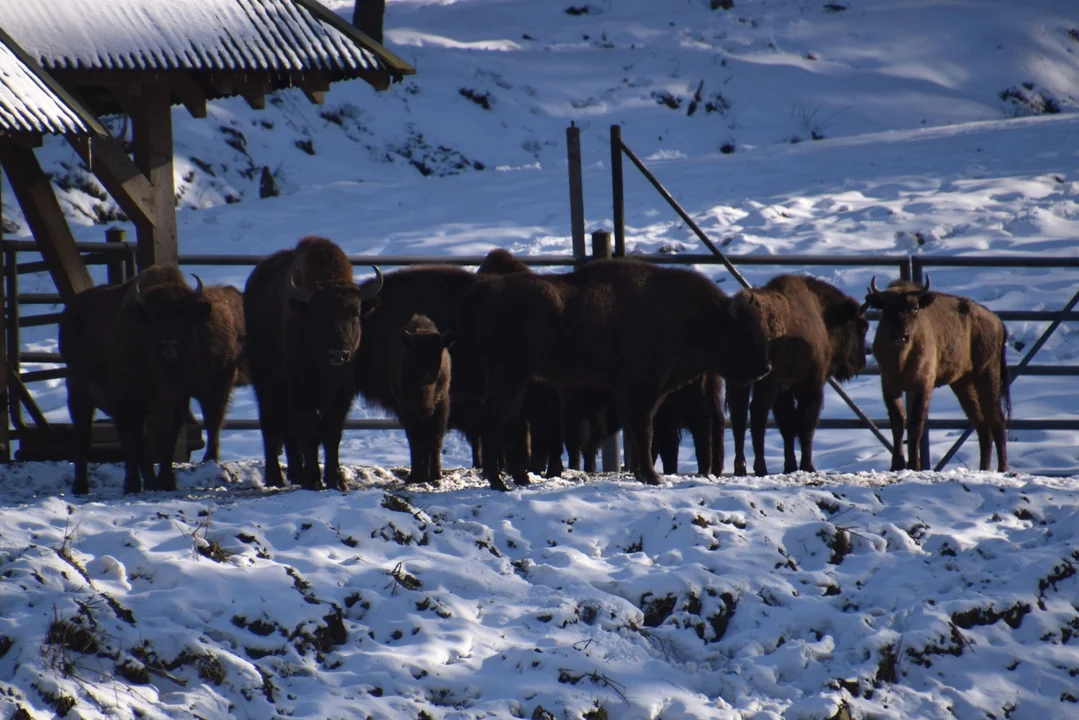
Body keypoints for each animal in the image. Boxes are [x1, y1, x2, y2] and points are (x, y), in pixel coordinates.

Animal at [62, 264, 217, 496]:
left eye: (185, 314)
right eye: (153, 316)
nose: (169, 345)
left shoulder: (177, 402)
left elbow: (166, 440)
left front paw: (167, 482)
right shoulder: (126, 403)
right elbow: (131, 443)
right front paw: (133, 485)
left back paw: (151, 482)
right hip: (79, 395)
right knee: (85, 436)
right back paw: (81, 487)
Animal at [244, 236, 384, 490]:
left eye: (355, 312)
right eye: (317, 314)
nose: (338, 354)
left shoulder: (343, 392)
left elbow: (330, 432)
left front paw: (336, 480)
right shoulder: (300, 389)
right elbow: (309, 431)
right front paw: (314, 480)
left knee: (288, 430)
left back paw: (296, 474)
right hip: (265, 380)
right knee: (271, 424)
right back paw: (275, 477)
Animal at [388, 313, 455, 483]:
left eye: (438, 350)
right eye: (415, 353)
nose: (427, 374)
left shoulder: (441, 406)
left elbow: (436, 439)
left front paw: (436, 475)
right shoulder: (409, 409)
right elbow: (416, 440)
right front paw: (416, 476)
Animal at [725, 276, 867, 479]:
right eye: (862, 327)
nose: (861, 362)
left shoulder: (784, 392)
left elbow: (788, 427)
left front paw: (790, 466)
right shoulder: (810, 387)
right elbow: (805, 425)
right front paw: (807, 466)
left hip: (740, 382)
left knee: (739, 416)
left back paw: (741, 468)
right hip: (764, 381)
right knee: (757, 413)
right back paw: (760, 468)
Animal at [858, 276, 1009, 472]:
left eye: (914, 307)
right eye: (886, 308)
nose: (900, 336)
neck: (902, 358)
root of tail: (997, 321)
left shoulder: (923, 386)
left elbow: (916, 424)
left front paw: (914, 465)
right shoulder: (890, 386)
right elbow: (897, 423)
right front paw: (896, 466)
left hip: (987, 376)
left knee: (997, 420)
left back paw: (1002, 469)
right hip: (962, 384)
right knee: (982, 425)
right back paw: (984, 468)